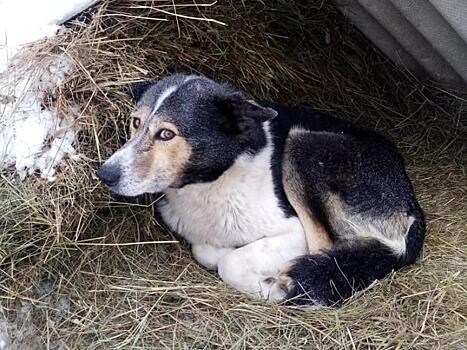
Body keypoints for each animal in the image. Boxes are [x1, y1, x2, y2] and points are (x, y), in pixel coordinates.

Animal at [97, 74, 426, 306]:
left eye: (166, 134)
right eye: (135, 123)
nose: (105, 174)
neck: (213, 181)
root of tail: (412, 203)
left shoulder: (293, 233)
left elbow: (230, 263)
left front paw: (271, 287)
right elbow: (205, 250)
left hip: (303, 144)